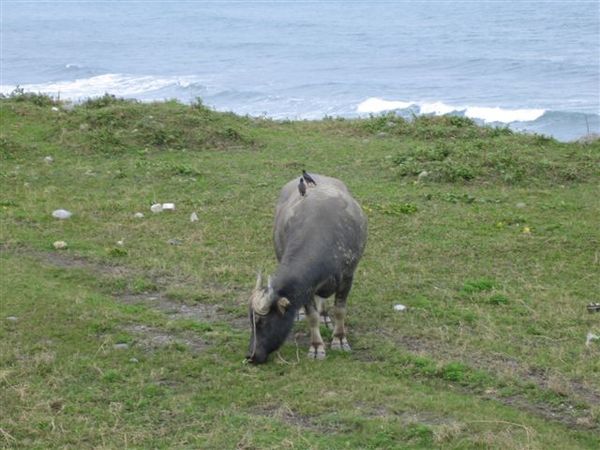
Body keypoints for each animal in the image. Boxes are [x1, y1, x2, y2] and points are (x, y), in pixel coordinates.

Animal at [246, 174, 368, 364]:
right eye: (251, 323)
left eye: (262, 322)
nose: (251, 355)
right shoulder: (306, 288)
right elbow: (312, 316)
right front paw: (317, 347)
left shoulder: (347, 277)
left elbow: (340, 310)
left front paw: (340, 339)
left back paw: (325, 317)